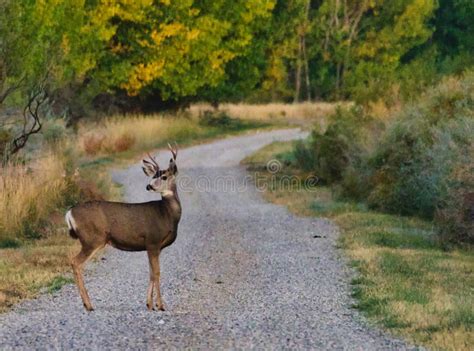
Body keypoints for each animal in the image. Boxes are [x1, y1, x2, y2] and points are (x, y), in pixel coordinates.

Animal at [65, 144, 180, 312]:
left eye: (164, 177)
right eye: (153, 176)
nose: (148, 186)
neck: (166, 215)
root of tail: (69, 212)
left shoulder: (152, 246)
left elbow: (151, 273)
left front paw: (149, 304)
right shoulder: (153, 240)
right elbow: (157, 273)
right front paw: (160, 305)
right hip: (92, 239)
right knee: (75, 262)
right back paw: (88, 305)